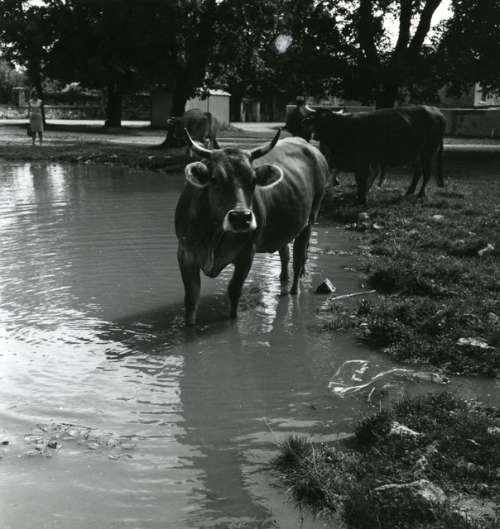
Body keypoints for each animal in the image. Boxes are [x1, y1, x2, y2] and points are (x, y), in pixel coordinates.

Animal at [175, 129, 329, 326]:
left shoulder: (246, 254)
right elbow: (191, 298)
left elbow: (234, 291)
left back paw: (294, 291)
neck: (213, 234)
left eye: (253, 181)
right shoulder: (185, 254)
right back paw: (283, 282)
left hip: (309, 221)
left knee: (298, 260)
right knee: (285, 255)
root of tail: (308, 146)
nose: (241, 217)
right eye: (214, 180)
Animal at [305, 105, 446, 205]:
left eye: (326, 121)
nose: (315, 136)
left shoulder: (362, 160)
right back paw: (409, 192)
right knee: (418, 172)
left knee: (426, 172)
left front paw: (360, 200)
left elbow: (361, 179)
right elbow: (360, 179)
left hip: (428, 151)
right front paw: (360, 198)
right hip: (415, 155)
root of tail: (436, 111)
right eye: (315, 121)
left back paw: (420, 194)